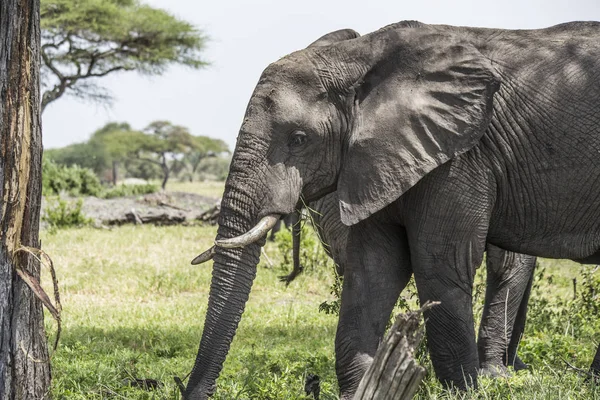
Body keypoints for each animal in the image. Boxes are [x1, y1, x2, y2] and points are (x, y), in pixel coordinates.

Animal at [186, 21, 600, 396]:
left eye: (299, 139)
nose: (192, 391)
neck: (359, 58)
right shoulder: (378, 161)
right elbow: (372, 269)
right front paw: (361, 390)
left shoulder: (461, 158)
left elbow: (438, 267)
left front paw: (468, 392)